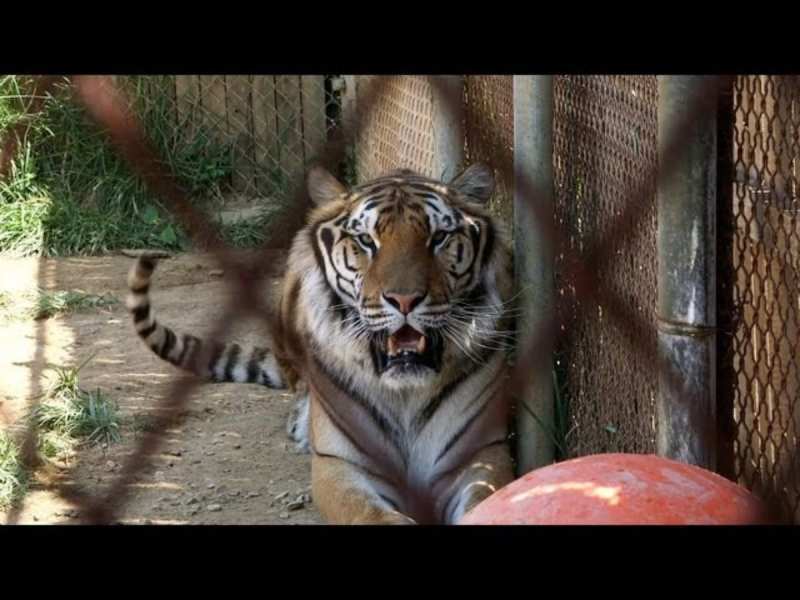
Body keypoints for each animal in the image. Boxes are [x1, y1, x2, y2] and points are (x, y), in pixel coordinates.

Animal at [123, 162, 512, 524]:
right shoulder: (340, 465)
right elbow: (372, 514)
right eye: (366, 241)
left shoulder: (481, 453)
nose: (404, 300)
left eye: (439, 237)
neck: (405, 392)